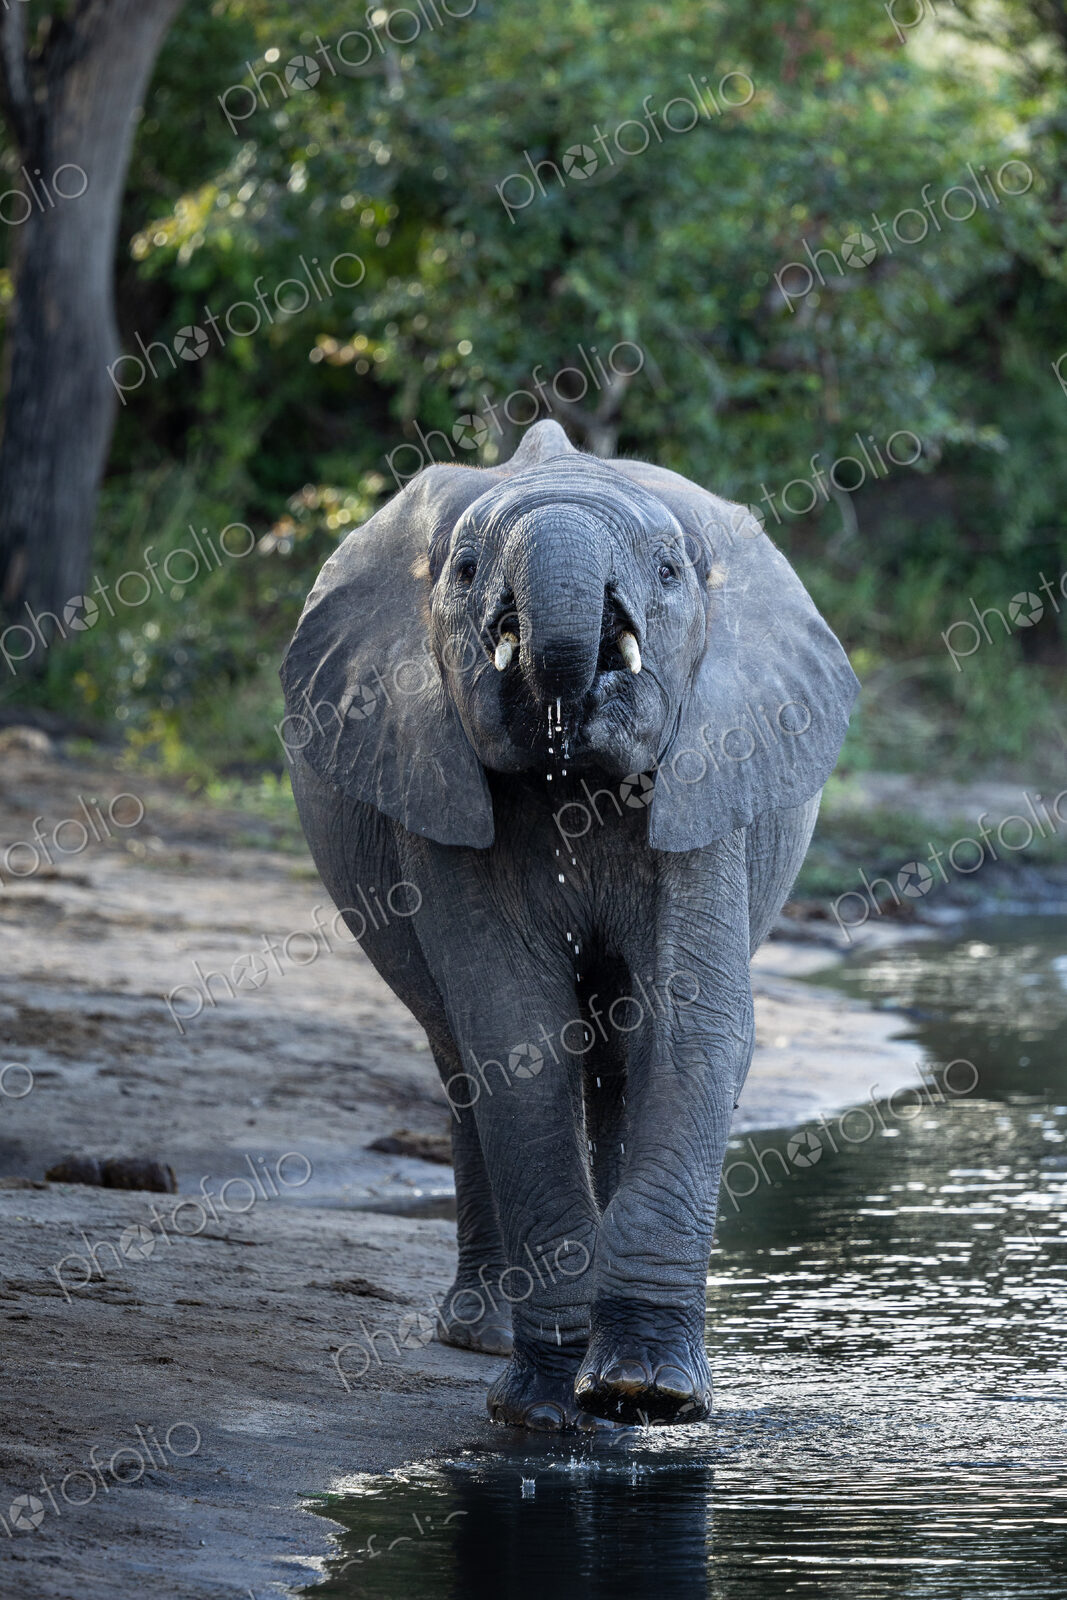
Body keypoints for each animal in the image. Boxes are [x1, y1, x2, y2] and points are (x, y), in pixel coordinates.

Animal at [280, 419, 858, 1431]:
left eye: (668, 571)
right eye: (465, 569)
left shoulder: (708, 769)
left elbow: (692, 1023)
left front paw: (645, 1392)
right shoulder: (433, 778)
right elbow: (516, 1034)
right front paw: (543, 1408)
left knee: (618, 1050)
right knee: (459, 1054)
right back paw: (480, 1334)